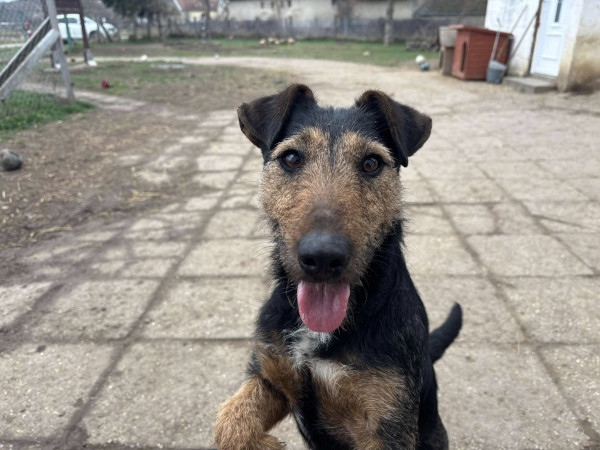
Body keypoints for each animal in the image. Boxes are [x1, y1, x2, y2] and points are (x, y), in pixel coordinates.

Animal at [214, 84, 462, 450]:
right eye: (291, 158)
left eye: (371, 163)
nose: (322, 257)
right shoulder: (272, 375)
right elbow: (229, 422)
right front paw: (262, 442)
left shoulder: (387, 425)